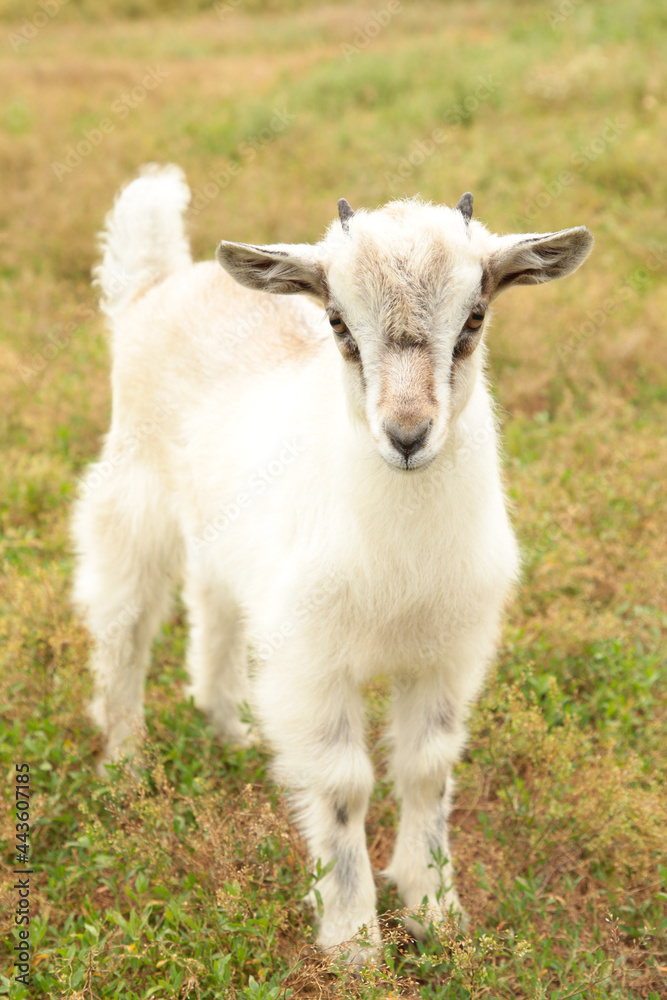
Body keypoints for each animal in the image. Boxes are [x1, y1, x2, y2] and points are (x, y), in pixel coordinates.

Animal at [74, 164, 596, 960]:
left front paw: (434, 906)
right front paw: (353, 940)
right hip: (132, 497)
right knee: (122, 622)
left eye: (474, 318)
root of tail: (157, 284)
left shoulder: (446, 653)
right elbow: (345, 785)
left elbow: (427, 768)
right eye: (338, 324)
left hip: (224, 530)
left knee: (213, 604)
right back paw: (125, 765)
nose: (407, 435)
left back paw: (232, 727)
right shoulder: (315, 660)